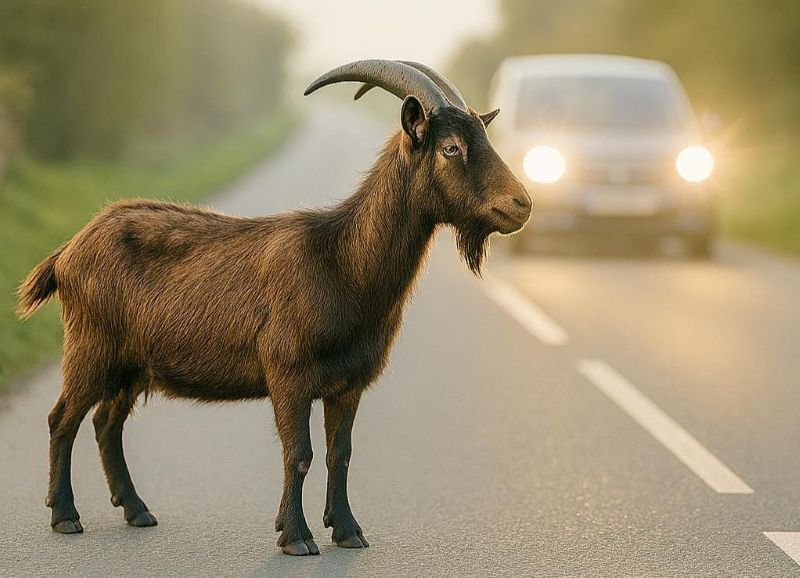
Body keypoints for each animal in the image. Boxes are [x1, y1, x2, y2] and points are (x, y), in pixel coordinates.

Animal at [17, 60, 531, 556]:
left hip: (131, 362)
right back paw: (65, 516)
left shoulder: (349, 382)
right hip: (91, 346)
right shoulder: (289, 374)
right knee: (62, 419)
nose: (522, 203)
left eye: (482, 137)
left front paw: (347, 530)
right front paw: (297, 536)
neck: (341, 260)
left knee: (107, 423)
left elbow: (340, 454)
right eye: (450, 148)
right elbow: (298, 454)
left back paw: (137, 509)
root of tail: (69, 249)